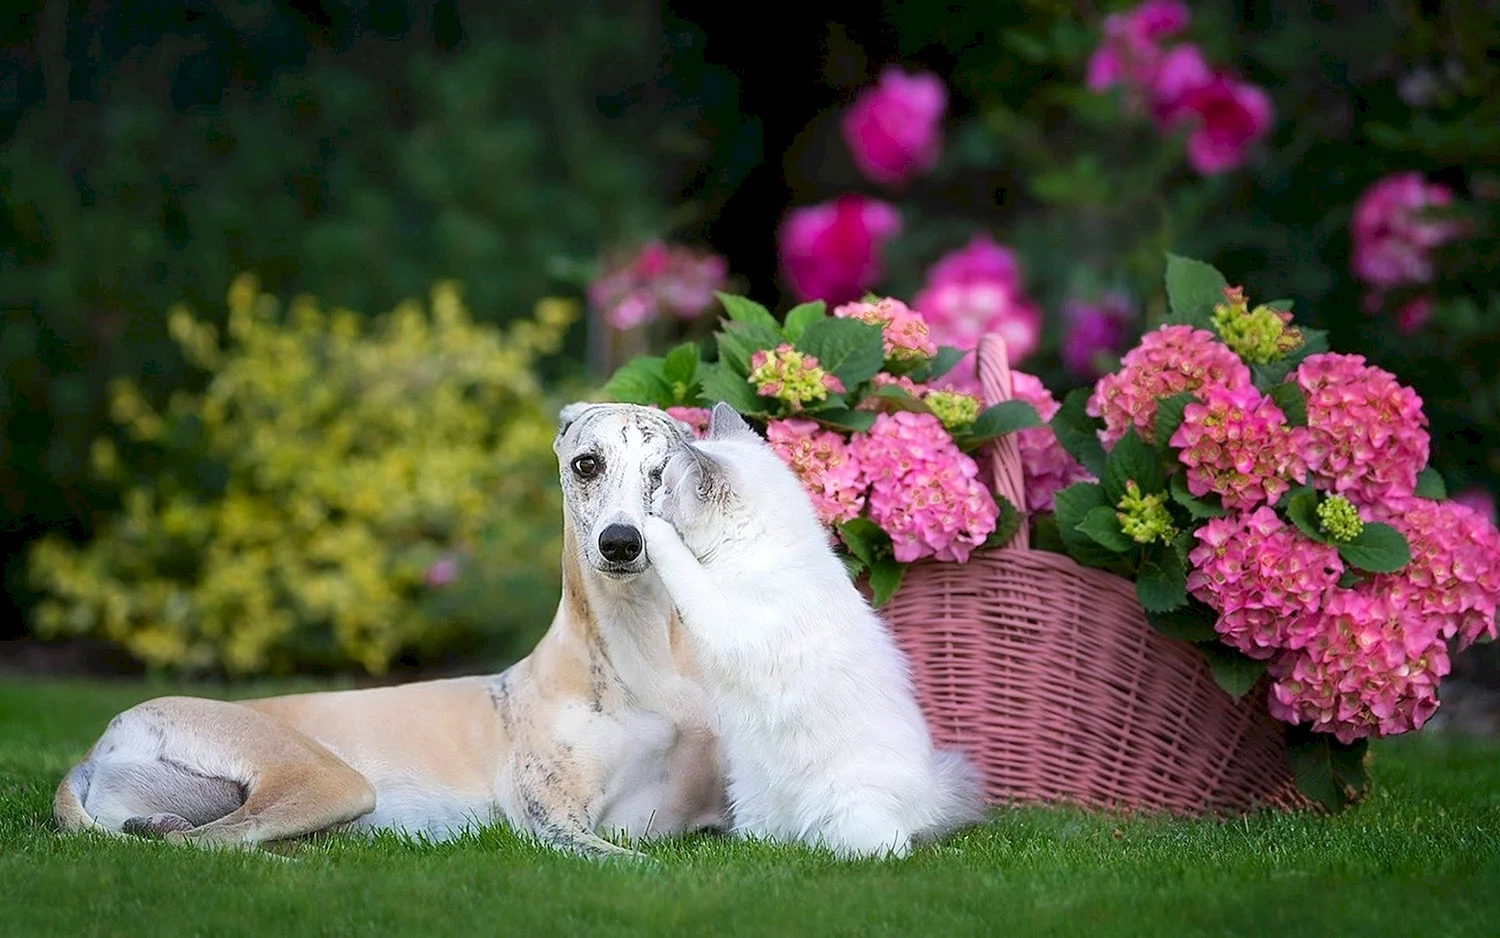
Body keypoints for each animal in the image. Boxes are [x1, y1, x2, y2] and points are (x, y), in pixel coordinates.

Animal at [61, 402, 729, 858]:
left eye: (663, 471)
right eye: (587, 464)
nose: (621, 543)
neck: (642, 667)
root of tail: (100, 745)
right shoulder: (554, 824)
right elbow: (642, 863)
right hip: (329, 779)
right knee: (213, 842)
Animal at [642, 402, 984, 858]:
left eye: (665, 487)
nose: (651, 498)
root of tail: (930, 801)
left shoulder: (721, 620)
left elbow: (679, 562)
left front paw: (648, 526)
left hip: (853, 811)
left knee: (889, 849)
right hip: (752, 795)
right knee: (768, 839)